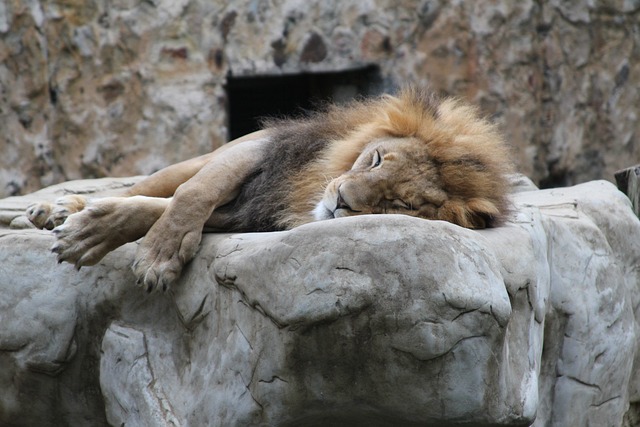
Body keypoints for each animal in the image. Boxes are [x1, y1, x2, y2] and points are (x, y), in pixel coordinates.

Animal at [27, 87, 512, 294]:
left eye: (401, 204)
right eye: (376, 159)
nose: (341, 201)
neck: (306, 192)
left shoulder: (249, 216)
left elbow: (155, 209)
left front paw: (94, 235)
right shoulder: (261, 152)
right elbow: (191, 194)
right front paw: (156, 254)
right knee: (152, 183)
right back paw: (55, 207)